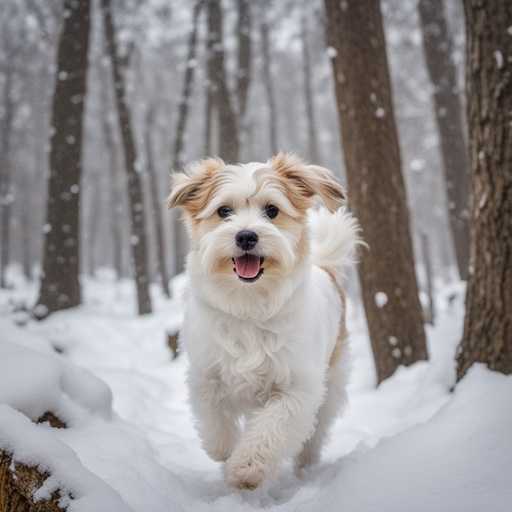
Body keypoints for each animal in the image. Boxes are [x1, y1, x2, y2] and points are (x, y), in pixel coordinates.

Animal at [168, 153, 360, 492]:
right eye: (224, 211)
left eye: (272, 210)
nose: (246, 235)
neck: (249, 304)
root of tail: (326, 269)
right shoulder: (207, 375)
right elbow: (214, 422)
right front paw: (224, 452)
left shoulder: (296, 388)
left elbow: (272, 428)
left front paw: (246, 469)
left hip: (331, 384)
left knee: (315, 431)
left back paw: (305, 467)